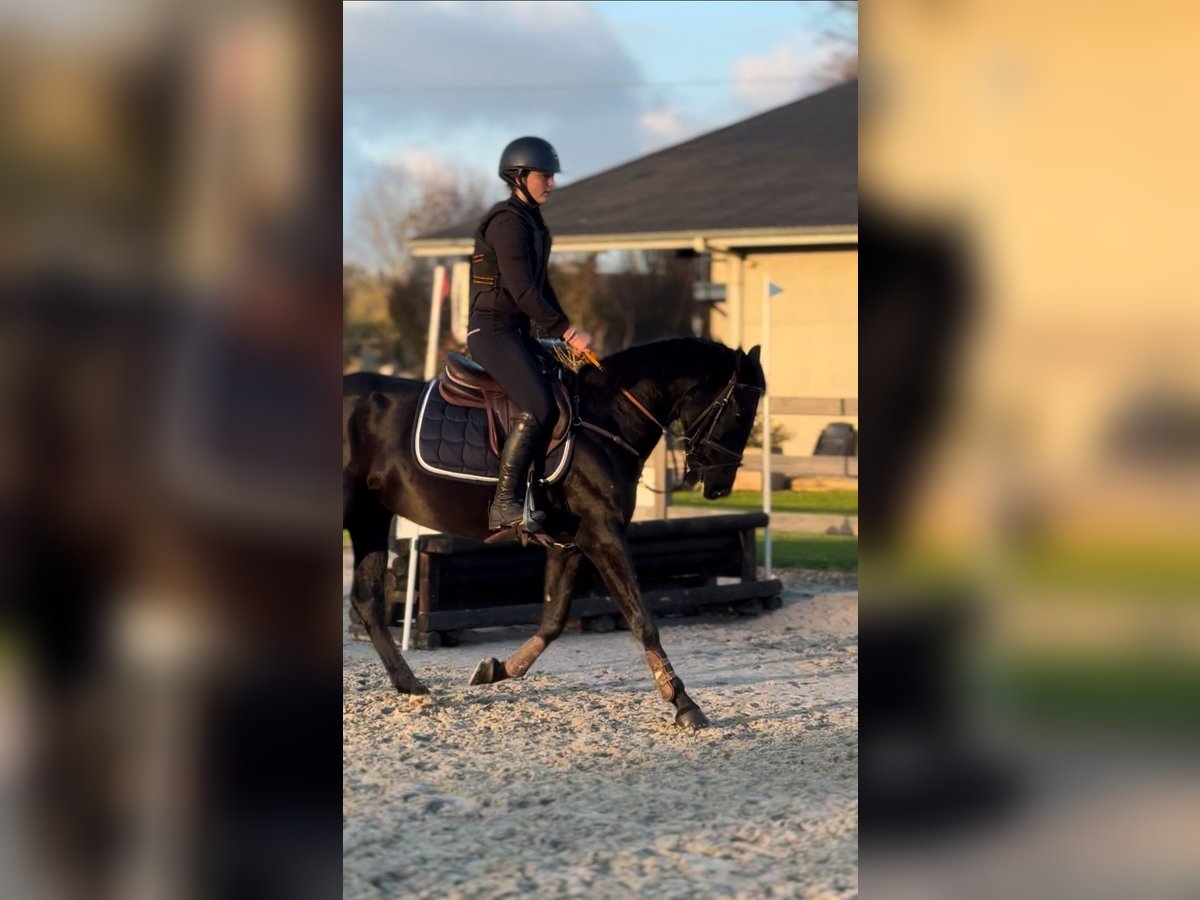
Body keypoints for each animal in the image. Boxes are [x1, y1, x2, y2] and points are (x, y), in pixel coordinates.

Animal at [342, 337, 765, 728]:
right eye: (740, 412)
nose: (720, 487)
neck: (607, 419)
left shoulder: (571, 544)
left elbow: (553, 619)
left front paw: (499, 669)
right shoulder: (603, 535)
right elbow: (641, 618)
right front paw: (683, 703)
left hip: (370, 518)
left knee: (367, 603)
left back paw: (410, 684)